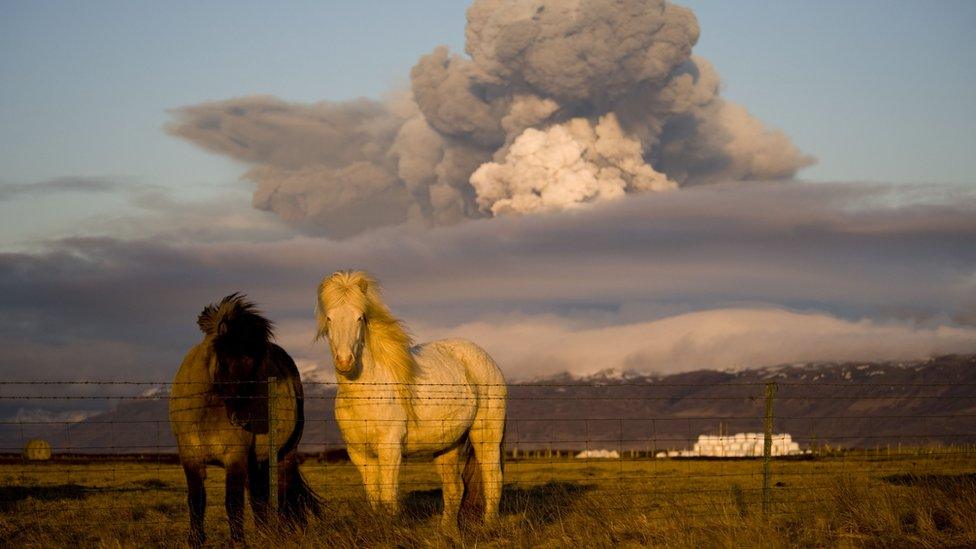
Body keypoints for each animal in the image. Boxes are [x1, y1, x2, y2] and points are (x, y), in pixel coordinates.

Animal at [170, 294, 318, 540]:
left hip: (285, 454)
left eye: (256, 364)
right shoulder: (190, 457)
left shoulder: (235, 457)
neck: (207, 413)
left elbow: (233, 503)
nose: (242, 419)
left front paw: (238, 541)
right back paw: (265, 534)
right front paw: (196, 541)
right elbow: (196, 502)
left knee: (283, 492)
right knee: (258, 498)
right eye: (223, 360)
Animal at [316, 272, 508, 528]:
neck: (366, 391)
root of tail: (487, 359)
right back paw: (446, 530)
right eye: (329, 318)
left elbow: (388, 497)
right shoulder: (358, 454)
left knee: (493, 478)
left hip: (486, 434)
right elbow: (374, 497)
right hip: (448, 445)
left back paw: (489, 526)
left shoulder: (390, 448)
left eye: (360, 317)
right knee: (454, 488)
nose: (344, 361)